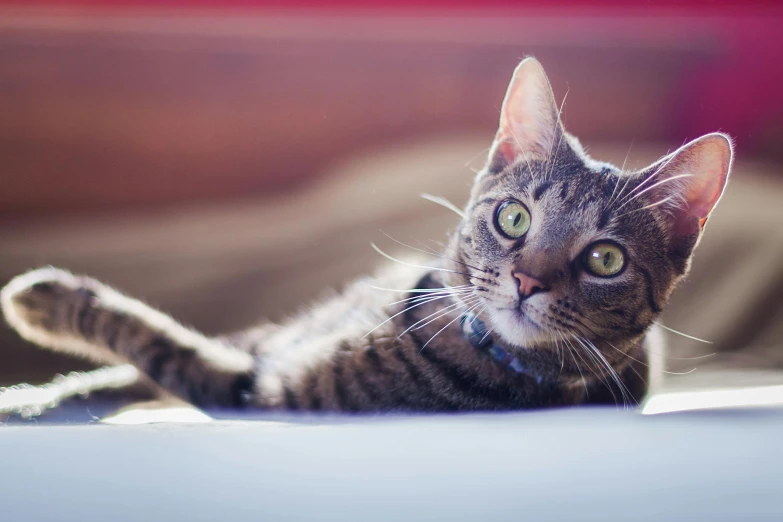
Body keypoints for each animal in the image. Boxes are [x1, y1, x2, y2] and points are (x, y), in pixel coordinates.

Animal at [1, 57, 736, 412]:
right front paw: (40, 395)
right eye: (514, 218)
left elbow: (153, 340)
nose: (527, 281)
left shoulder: (256, 387)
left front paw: (44, 302)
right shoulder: (267, 341)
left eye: (605, 260)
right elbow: (120, 374)